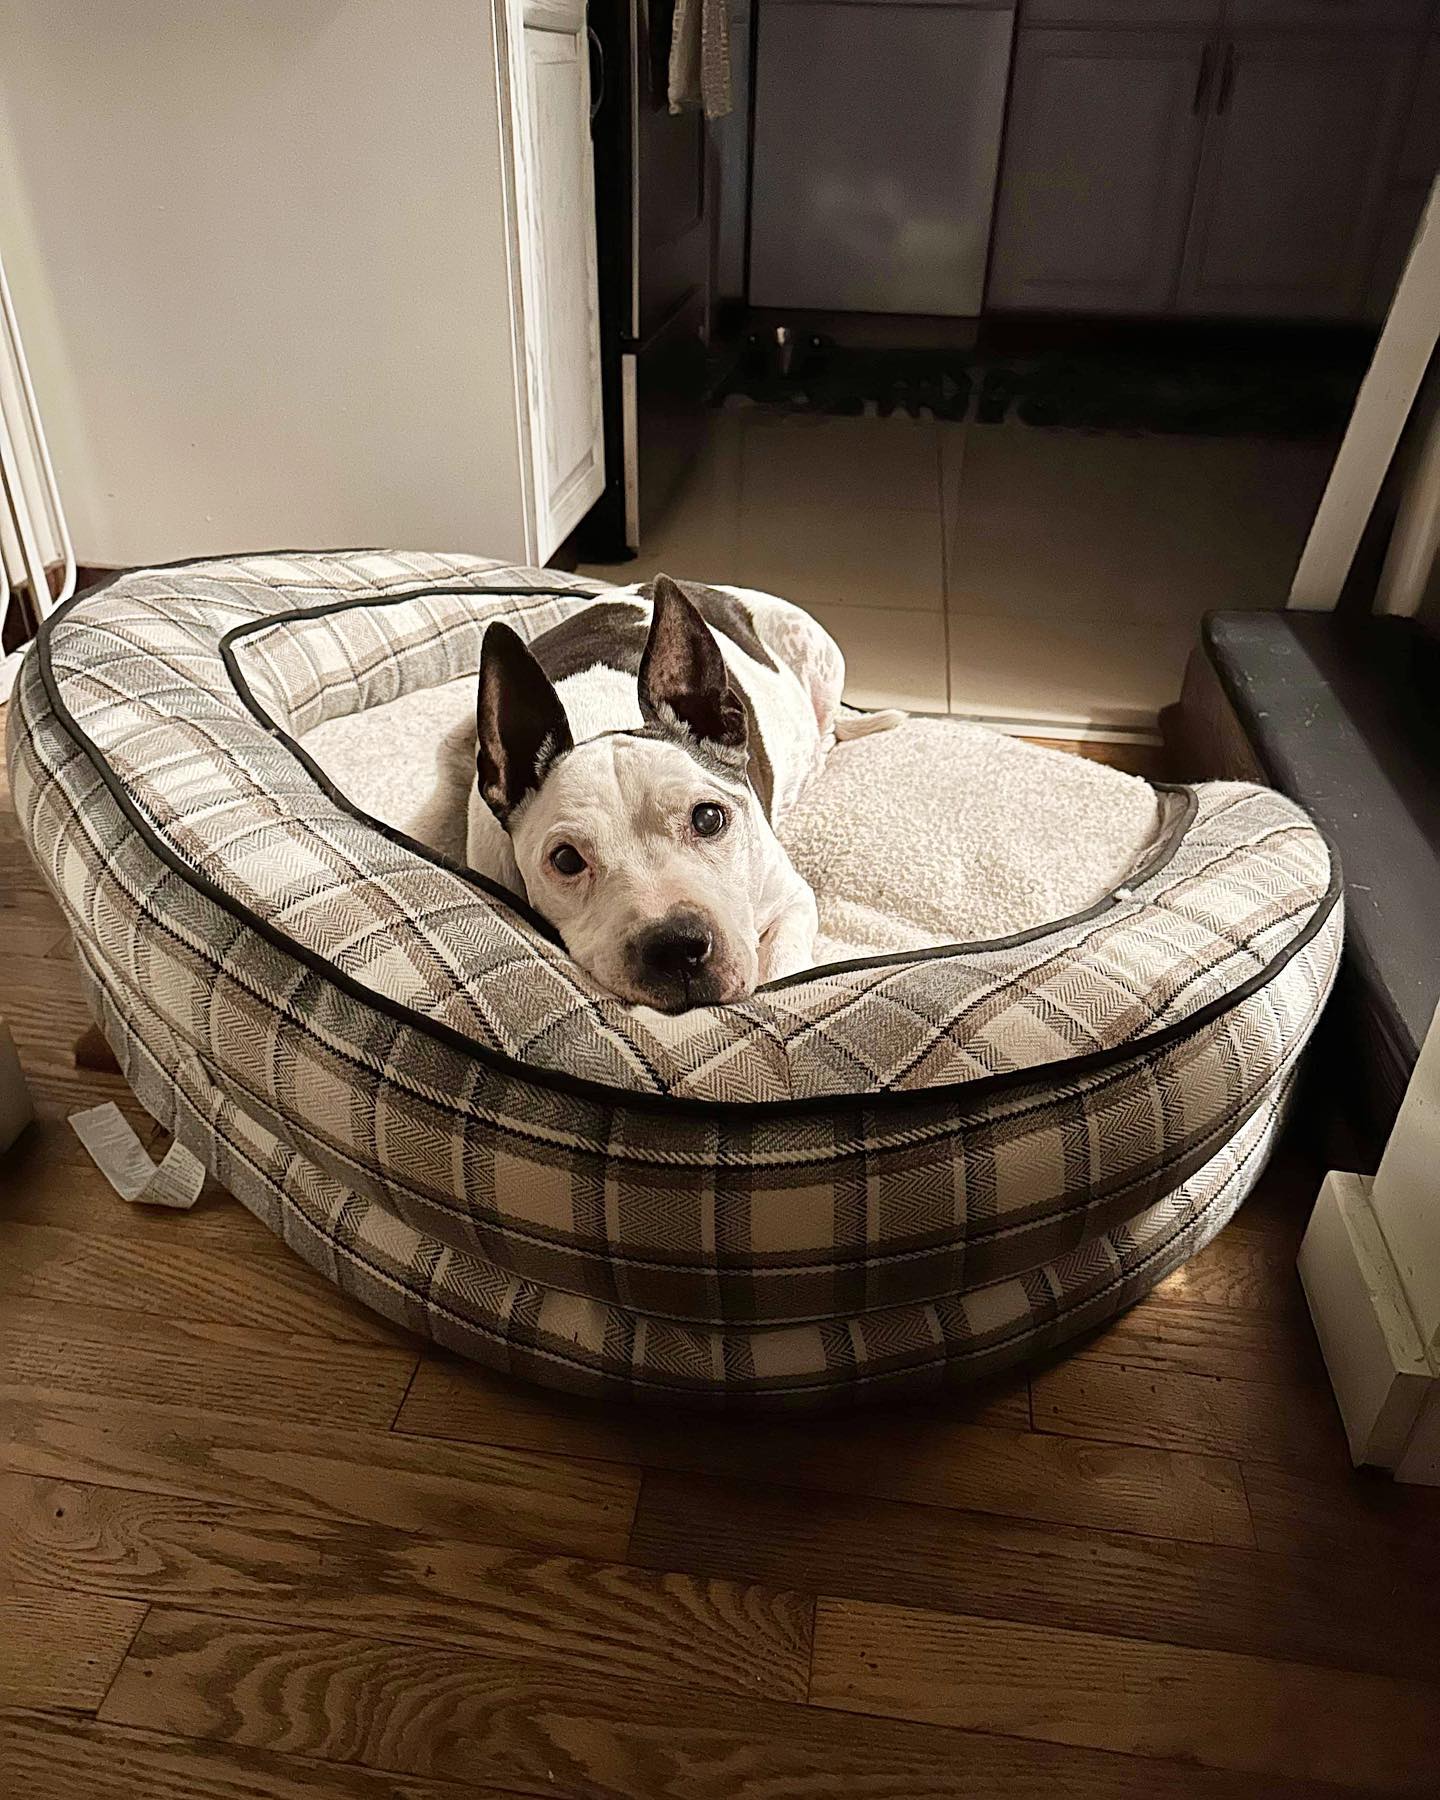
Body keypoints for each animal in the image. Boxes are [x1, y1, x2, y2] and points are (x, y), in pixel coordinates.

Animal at [468, 572, 871, 1015]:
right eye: (566, 860)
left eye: (709, 818)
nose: (676, 947)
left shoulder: (791, 898)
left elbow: (782, 968)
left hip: (819, 659)